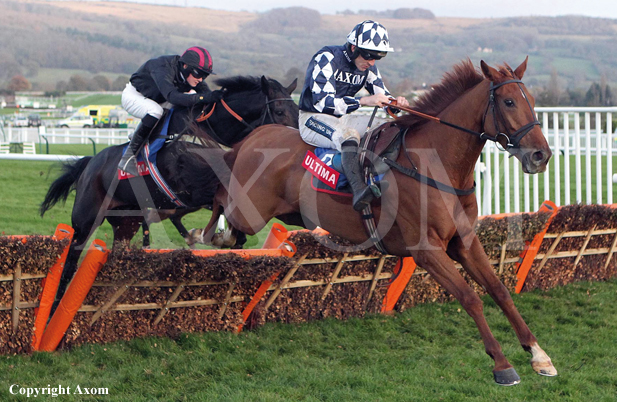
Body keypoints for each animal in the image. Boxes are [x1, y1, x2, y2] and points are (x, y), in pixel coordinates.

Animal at [39, 75, 298, 300]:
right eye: (279, 111)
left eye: (298, 111)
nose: (293, 146)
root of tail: (89, 164)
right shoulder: (192, 189)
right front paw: (209, 236)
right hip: (86, 219)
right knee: (71, 260)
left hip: (126, 222)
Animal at [199, 58, 560, 384]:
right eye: (509, 102)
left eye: (531, 101)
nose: (541, 155)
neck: (436, 164)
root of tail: (255, 135)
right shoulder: (426, 250)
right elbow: (471, 298)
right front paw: (502, 365)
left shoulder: (464, 241)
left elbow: (499, 290)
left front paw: (539, 354)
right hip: (250, 211)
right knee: (219, 197)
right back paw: (206, 235)